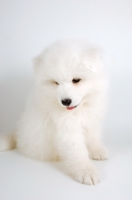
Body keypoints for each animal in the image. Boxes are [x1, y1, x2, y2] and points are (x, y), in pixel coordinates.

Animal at [0, 39, 108, 185]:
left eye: (76, 80)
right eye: (56, 82)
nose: (66, 101)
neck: (79, 110)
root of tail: (17, 132)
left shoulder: (91, 120)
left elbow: (93, 138)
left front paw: (97, 151)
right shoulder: (67, 129)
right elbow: (77, 152)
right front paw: (87, 172)